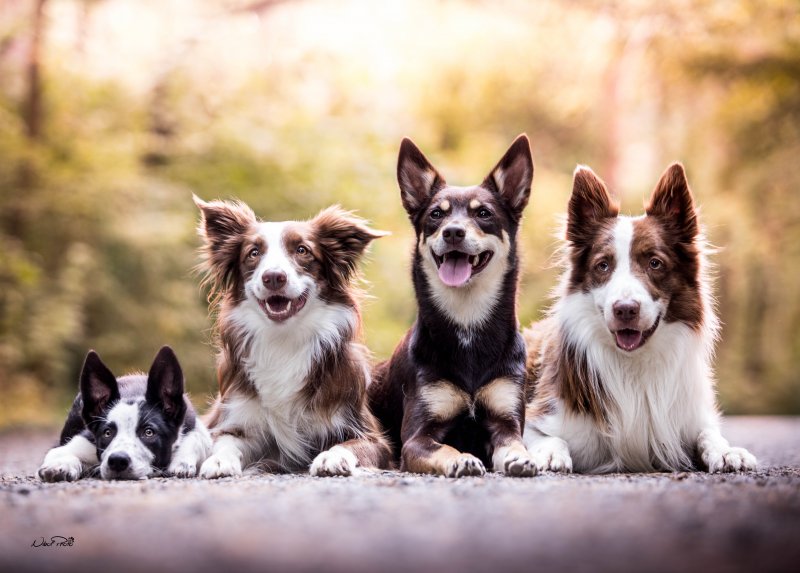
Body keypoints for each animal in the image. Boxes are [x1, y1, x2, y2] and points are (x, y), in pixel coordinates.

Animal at [37, 346, 212, 480]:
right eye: (107, 433)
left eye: (149, 432)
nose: (118, 461)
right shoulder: (79, 442)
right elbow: (59, 452)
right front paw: (60, 465)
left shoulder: (195, 427)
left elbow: (196, 438)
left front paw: (182, 461)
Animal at [368, 135, 536, 478]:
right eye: (436, 214)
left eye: (483, 213)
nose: (453, 232)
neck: (467, 323)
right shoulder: (418, 436)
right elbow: (443, 447)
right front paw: (461, 458)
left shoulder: (505, 421)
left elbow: (513, 443)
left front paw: (520, 457)